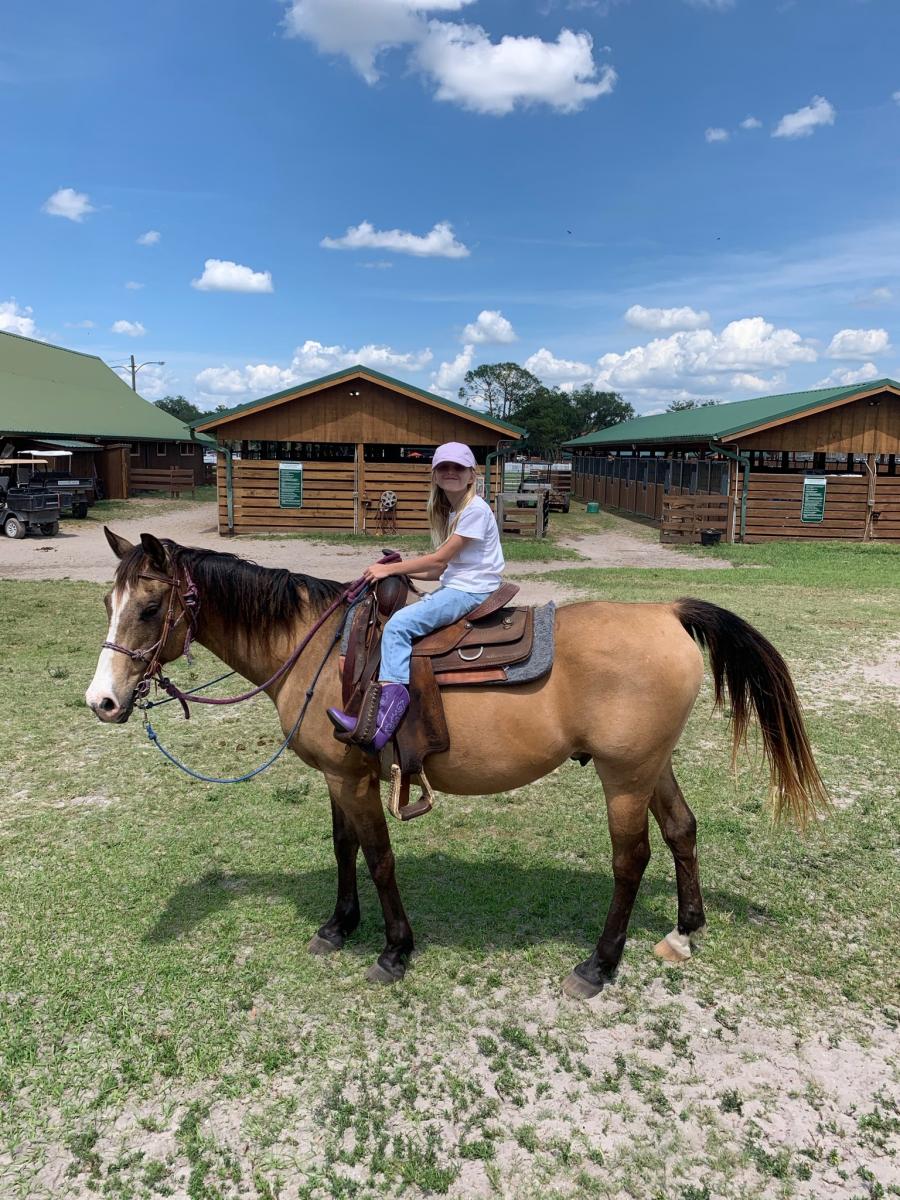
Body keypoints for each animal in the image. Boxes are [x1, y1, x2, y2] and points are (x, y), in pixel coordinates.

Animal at [86, 530, 830, 998]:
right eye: (108, 603)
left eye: (149, 607)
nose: (103, 701)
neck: (319, 648)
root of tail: (667, 612)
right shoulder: (339, 776)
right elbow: (342, 847)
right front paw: (337, 926)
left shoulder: (353, 777)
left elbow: (378, 857)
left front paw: (393, 949)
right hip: (652, 766)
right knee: (682, 830)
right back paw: (684, 931)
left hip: (623, 776)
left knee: (632, 859)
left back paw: (597, 965)